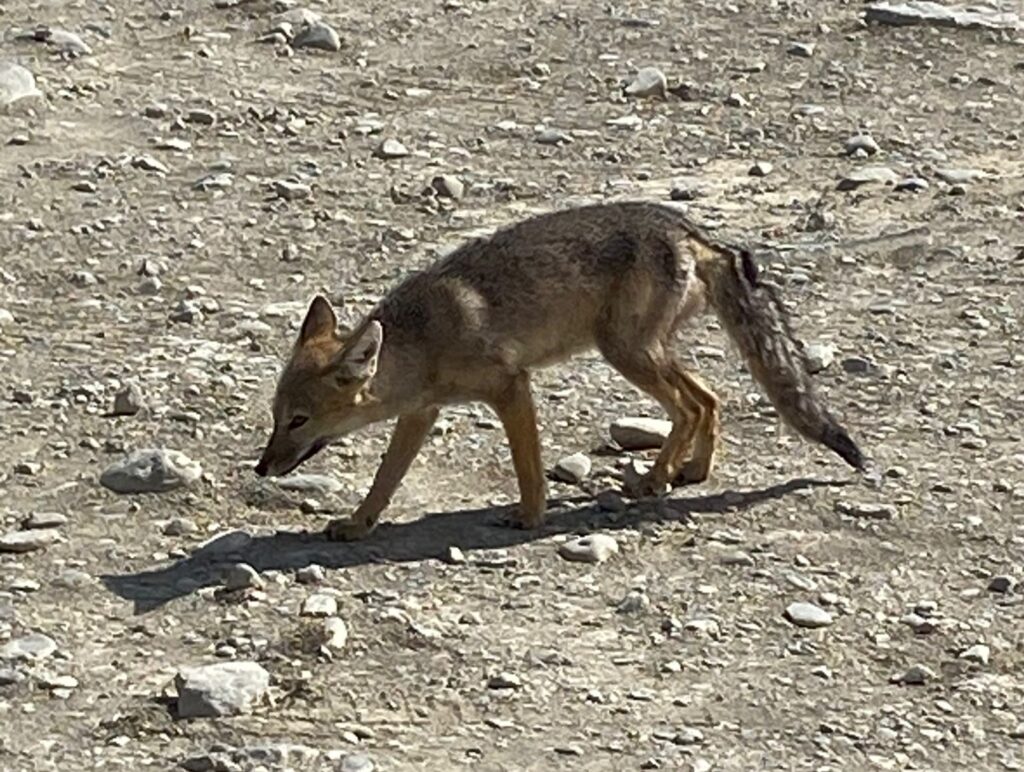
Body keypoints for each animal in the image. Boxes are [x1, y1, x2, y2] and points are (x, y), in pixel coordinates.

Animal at [254, 200, 865, 541]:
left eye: (299, 421)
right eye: (275, 417)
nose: (261, 468)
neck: (423, 339)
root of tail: (690, 230)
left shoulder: (510, 386)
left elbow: (527, 466)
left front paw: (529, 517)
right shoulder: (421, 414)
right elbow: (385, 479)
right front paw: (359, 524)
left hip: (626, 354)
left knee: (691, 405)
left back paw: (653, 479)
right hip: (643, 352)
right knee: (710, 397)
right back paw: (688, 471)